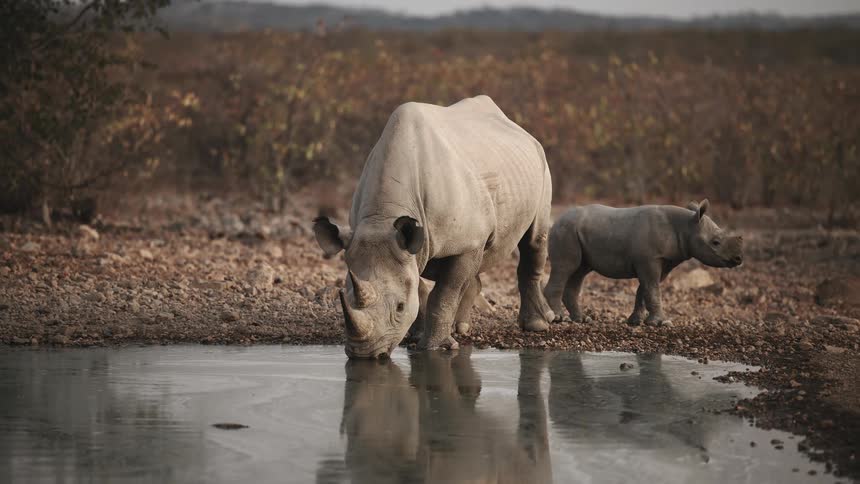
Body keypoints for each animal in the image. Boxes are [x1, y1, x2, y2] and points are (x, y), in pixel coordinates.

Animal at [314, 95, 555, 358]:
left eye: (399, 308)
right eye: (344, 298)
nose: (364, 355)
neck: (382, 218)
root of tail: (517, 127)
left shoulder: (463, 244)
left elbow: (445, 293)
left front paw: (436, 347)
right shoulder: (408, 246)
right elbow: (418, 287)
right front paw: (418, 334)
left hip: (540, 163)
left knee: (534, 240)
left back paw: (537, 325)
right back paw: (460, 328)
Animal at [543, 199, 743, 326]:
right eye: (715, 242)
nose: (738, 259)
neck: (686, 227)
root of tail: (556, 220)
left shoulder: (661, 260)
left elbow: (645, 289)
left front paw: (637, 322)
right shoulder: (649, 259)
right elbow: (652, 289)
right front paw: (663, 322)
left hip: (575, 232)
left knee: (579, 271)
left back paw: (582, 320)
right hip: (565, 230)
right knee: (566, 267)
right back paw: (560, 319)